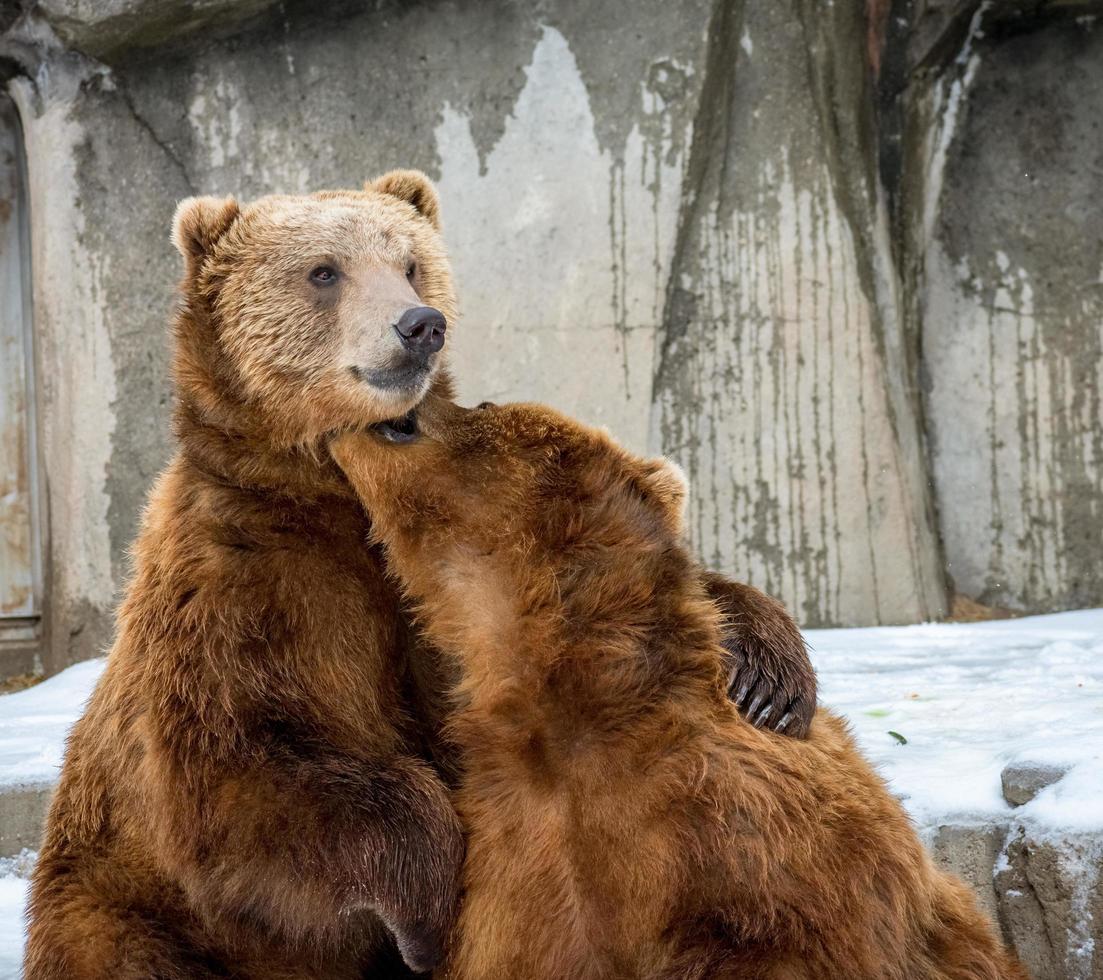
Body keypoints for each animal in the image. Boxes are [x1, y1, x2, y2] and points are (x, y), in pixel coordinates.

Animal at [23, 172, 820, 975]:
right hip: (120, 907)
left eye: (411, 264)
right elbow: (242, 763)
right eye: (324, 271)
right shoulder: (242, 577)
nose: (419, 325)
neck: (330, 488)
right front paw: (429, 910)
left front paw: (765, 678)